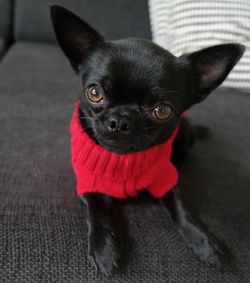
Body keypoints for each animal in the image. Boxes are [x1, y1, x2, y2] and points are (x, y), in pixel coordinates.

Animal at [50, 5, 244, 276]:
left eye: (162, 110)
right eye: (94, 93)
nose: (120, 120)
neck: (124, 159)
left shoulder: (166, 180)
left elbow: (181, 210)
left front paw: (203, 242)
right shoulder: (88, 182)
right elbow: (97, 210)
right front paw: (103, 248)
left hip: (185, 132)